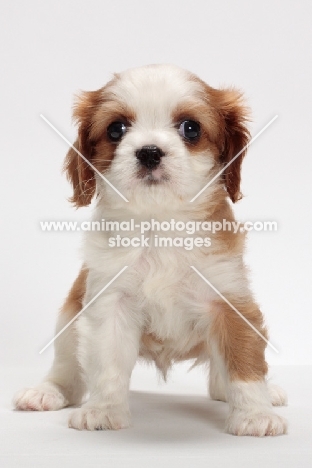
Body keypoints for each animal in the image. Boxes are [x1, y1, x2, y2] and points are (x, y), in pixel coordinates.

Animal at [14, 65, 288, 436]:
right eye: (116, 129)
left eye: (190, 128)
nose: (149, 151)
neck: (159, 226)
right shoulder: (110, 302)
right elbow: (108, 363)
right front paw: (103, 410)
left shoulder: (229, 300)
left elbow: (244, 363)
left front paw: (254, 414)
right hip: (69, 317)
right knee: (67, 369)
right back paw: (46, 392)